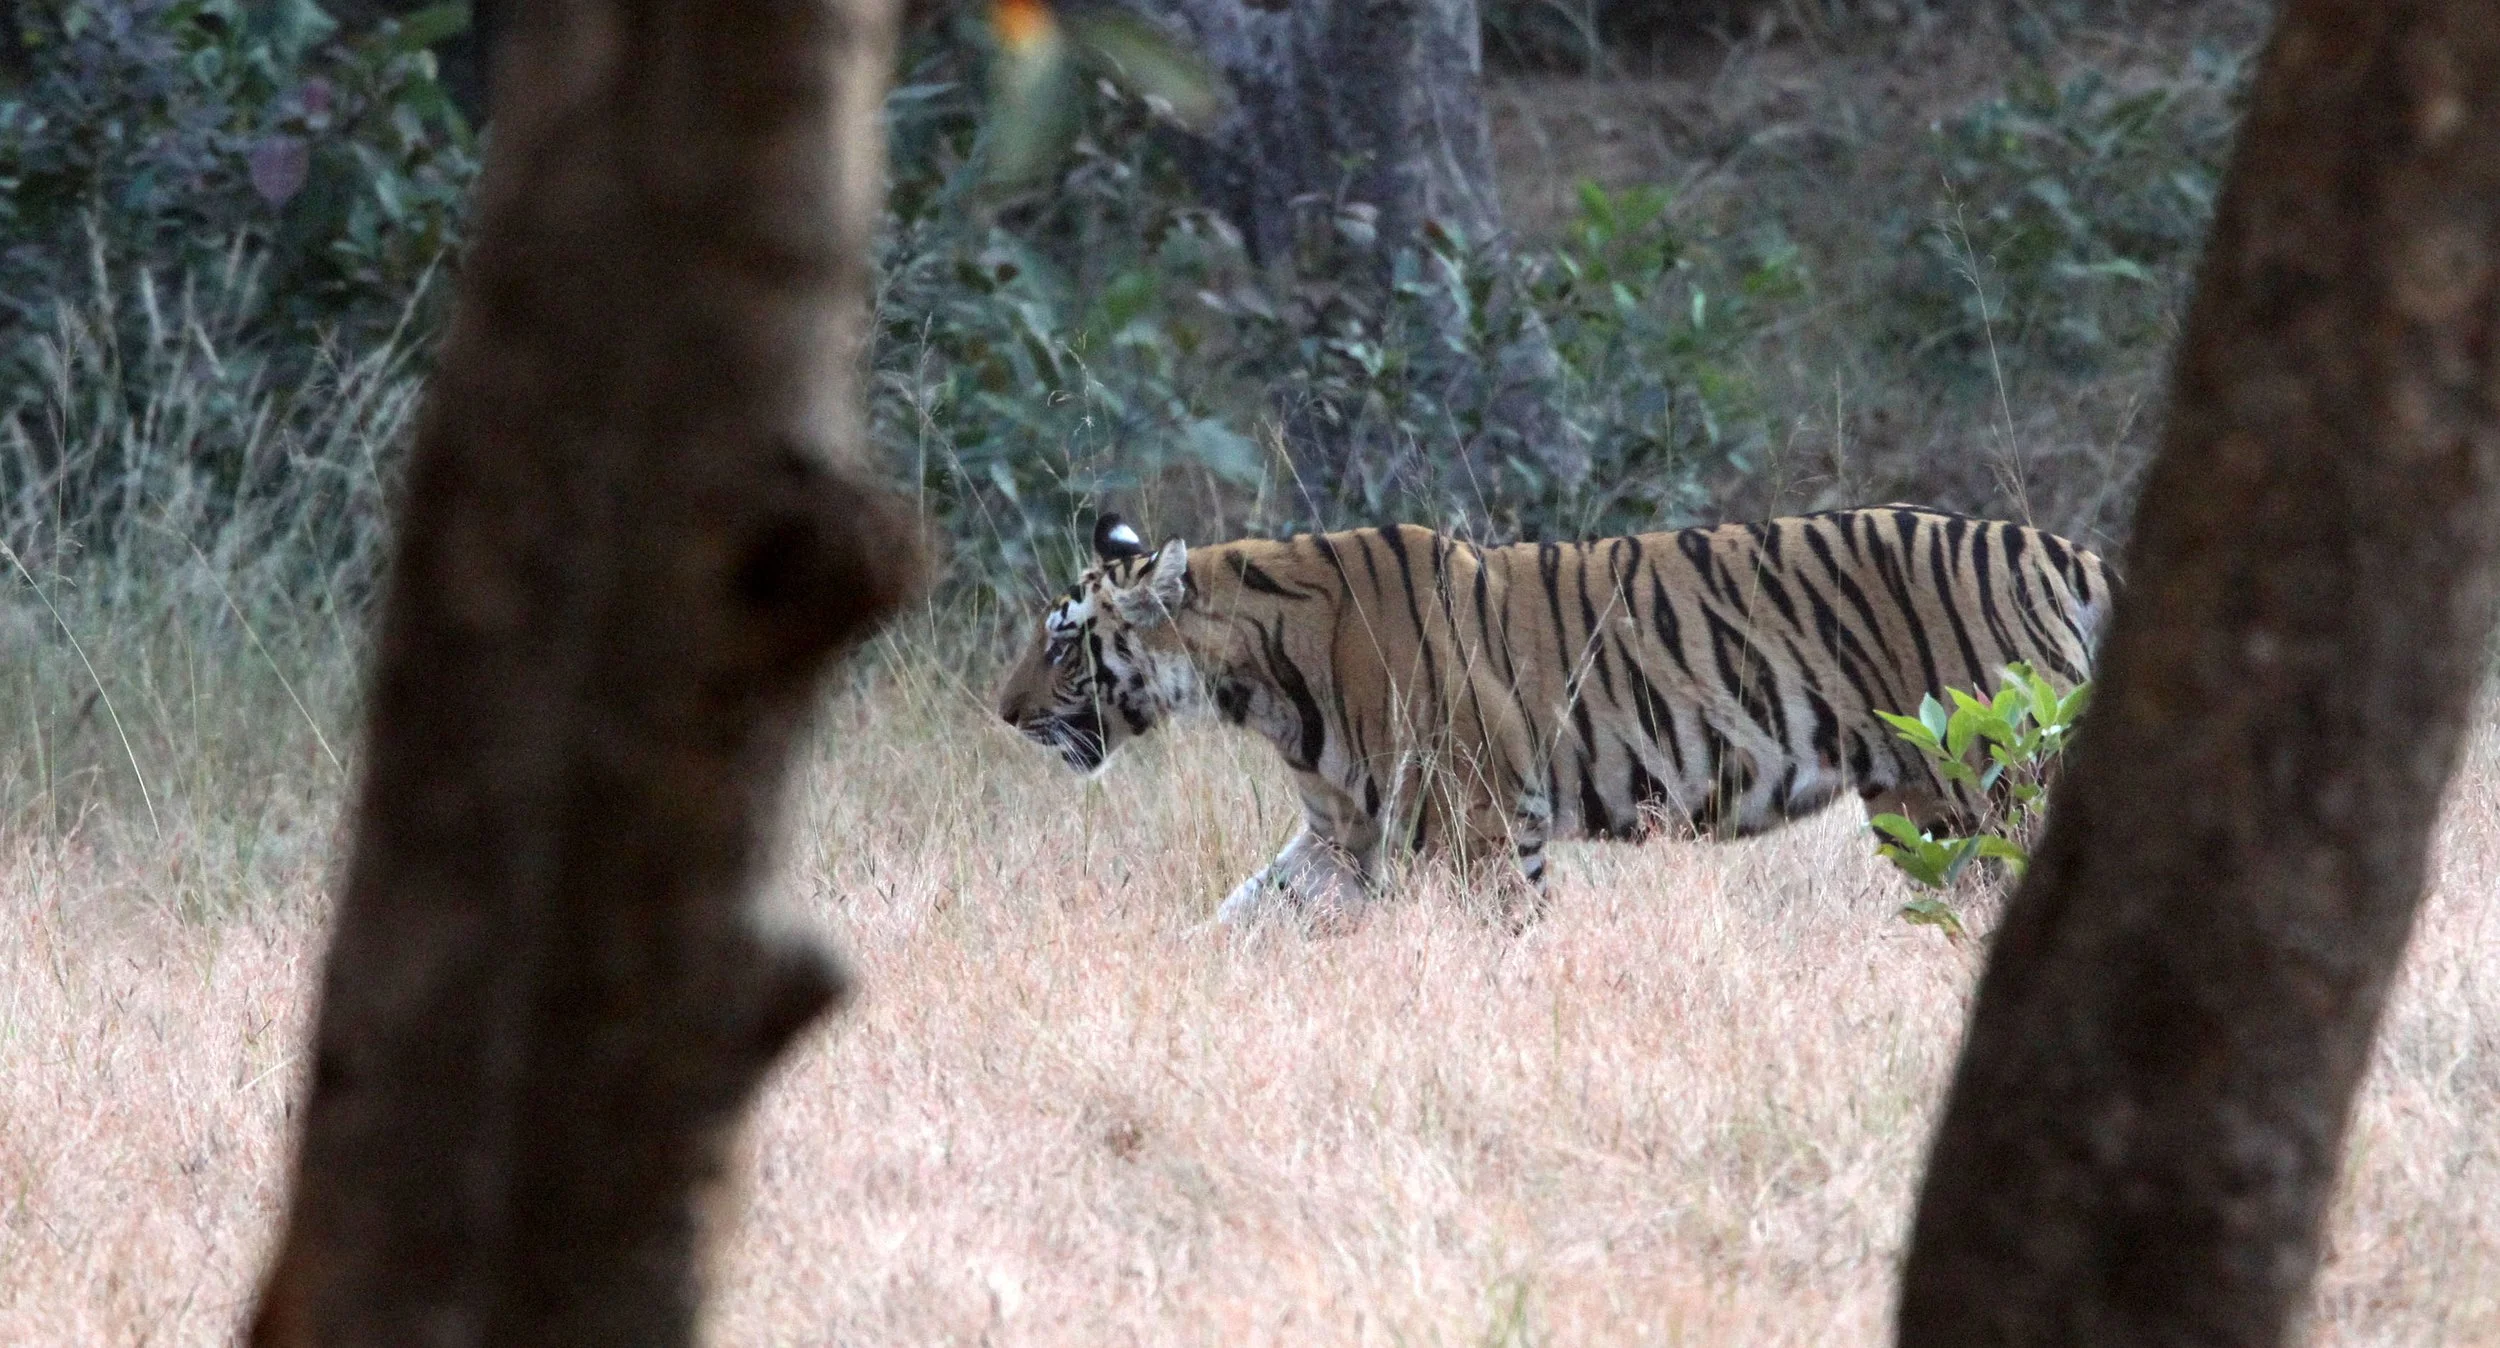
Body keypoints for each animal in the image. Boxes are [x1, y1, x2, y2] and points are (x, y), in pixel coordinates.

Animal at [996, 506, 2111, 926]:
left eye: (1063, 642)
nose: (1000, 714)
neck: (1254, 680)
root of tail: (2059, 547)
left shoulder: (1484, 823)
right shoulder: (1337, 837)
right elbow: (1241, 917)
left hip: (1986, 791)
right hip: (1919, 803)